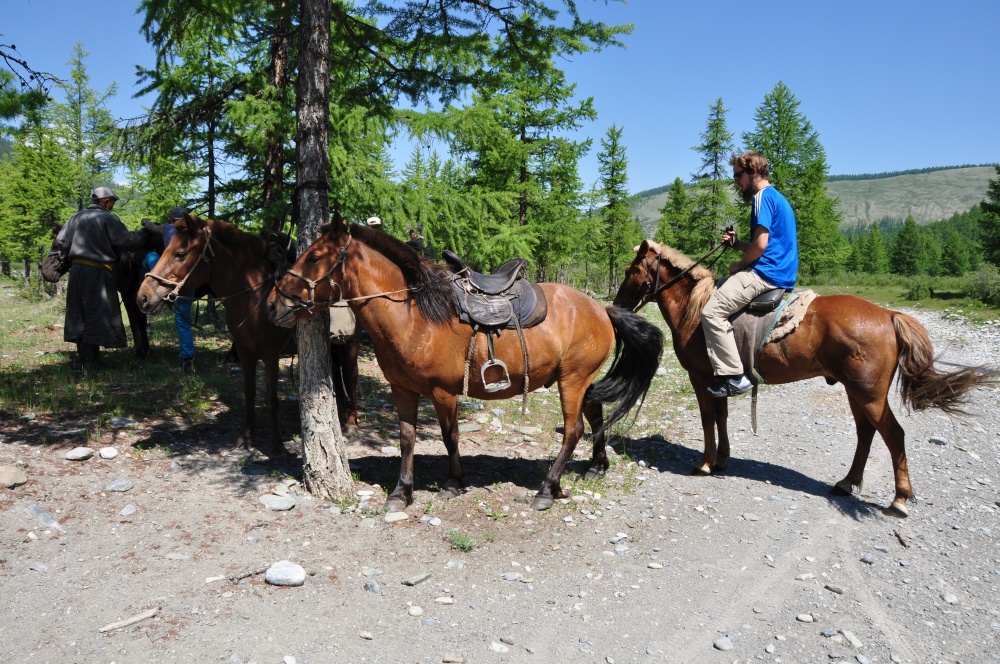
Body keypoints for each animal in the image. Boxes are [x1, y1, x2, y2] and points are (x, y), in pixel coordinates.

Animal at [137, 214, 362, 456]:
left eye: (180, 253)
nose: (143, 297)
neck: (254, 295)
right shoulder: (245, 351)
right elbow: (249, 393)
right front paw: (246, 438)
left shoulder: (271, 354)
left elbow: (271, 399)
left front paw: (277, 445)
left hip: (350, 342)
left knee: (351, 376)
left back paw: (351, 423)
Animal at [266, 215, 664, 510]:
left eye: (314, 257)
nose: (273, 303)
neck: (414, 316)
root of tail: (601, 308)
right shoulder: (402, 389)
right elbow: (408, 438)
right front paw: (401, 492)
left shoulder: (443, 392)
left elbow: (450, 435)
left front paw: (453, 483)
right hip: (577, 379)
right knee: (595, 409)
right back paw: (597, 466)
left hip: (572, 379)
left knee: (573, 430)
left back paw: (547, 489)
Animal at [612, 240, 996, 520]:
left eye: (631, 269)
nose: (617, 305)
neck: (695, 310)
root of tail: (888, 314)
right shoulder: (717, 379)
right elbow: (721, 417)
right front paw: (721, 459)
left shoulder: (700, 377)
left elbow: (709, 419)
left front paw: (705, 463)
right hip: (856, 392)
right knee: (866, 433)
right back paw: (847, 483)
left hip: (869, 394)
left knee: (893, 435)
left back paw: (899, 499)